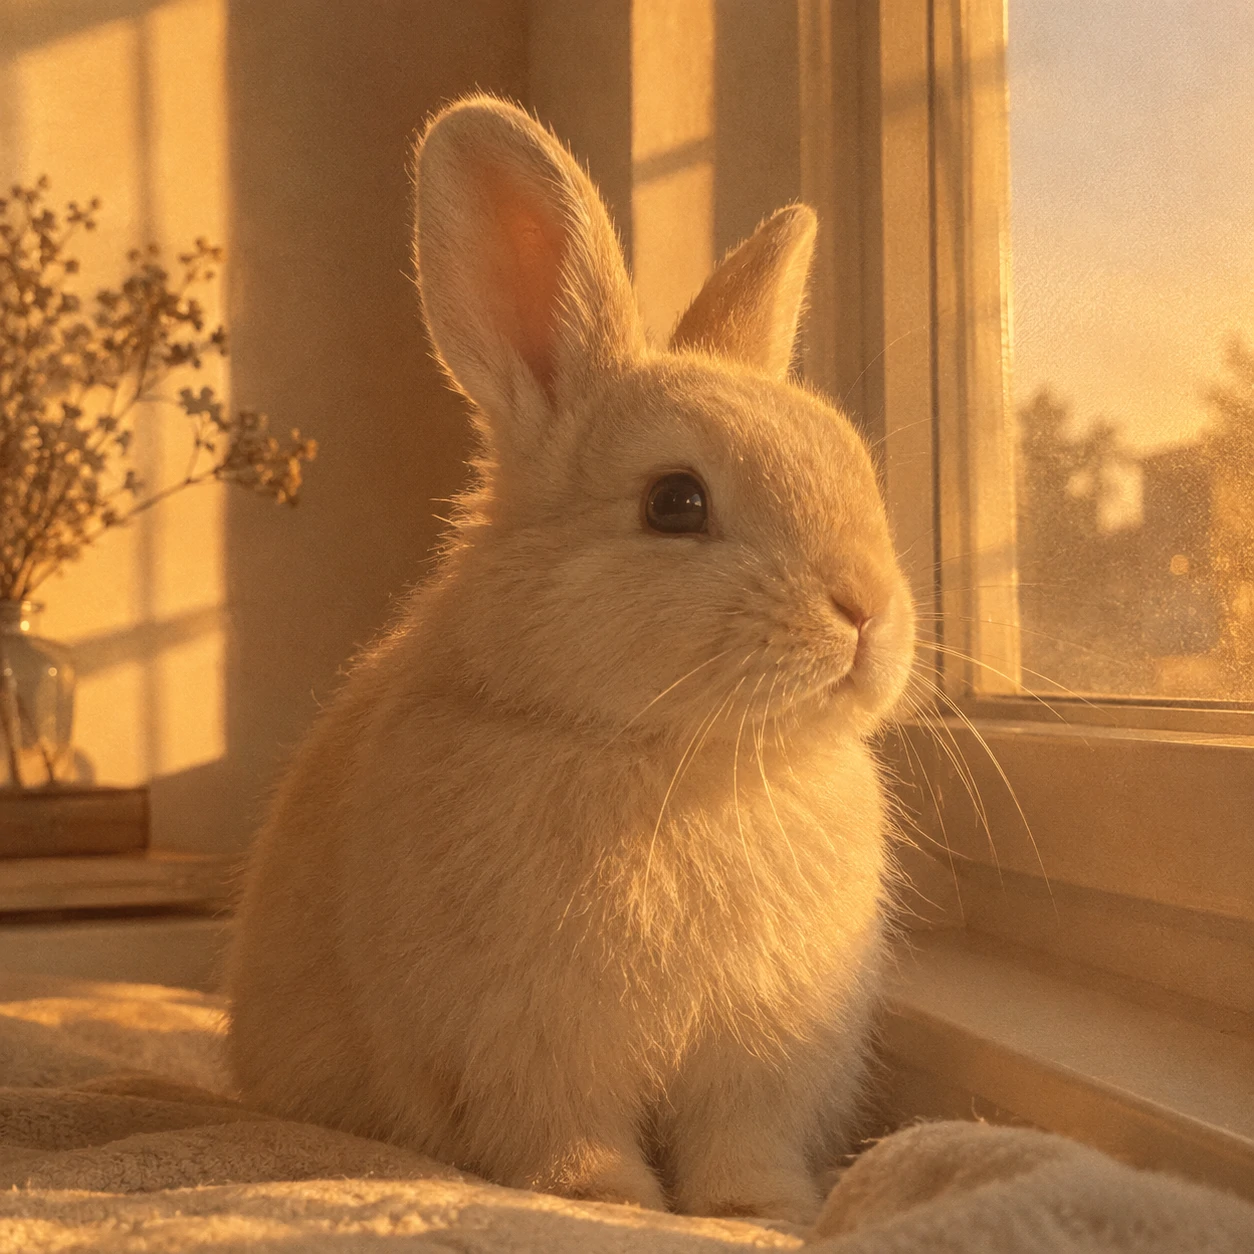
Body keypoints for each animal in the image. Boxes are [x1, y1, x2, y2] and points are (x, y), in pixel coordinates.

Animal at [225, 94, 916, 1227]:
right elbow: (563, 1128)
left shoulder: (758, 1058)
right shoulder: (528, 1041)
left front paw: (758, 1210)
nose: (868, 613)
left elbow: (742, 1140)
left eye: (855, 466)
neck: (680, 759)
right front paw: (607, 1197)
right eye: (674, 502)